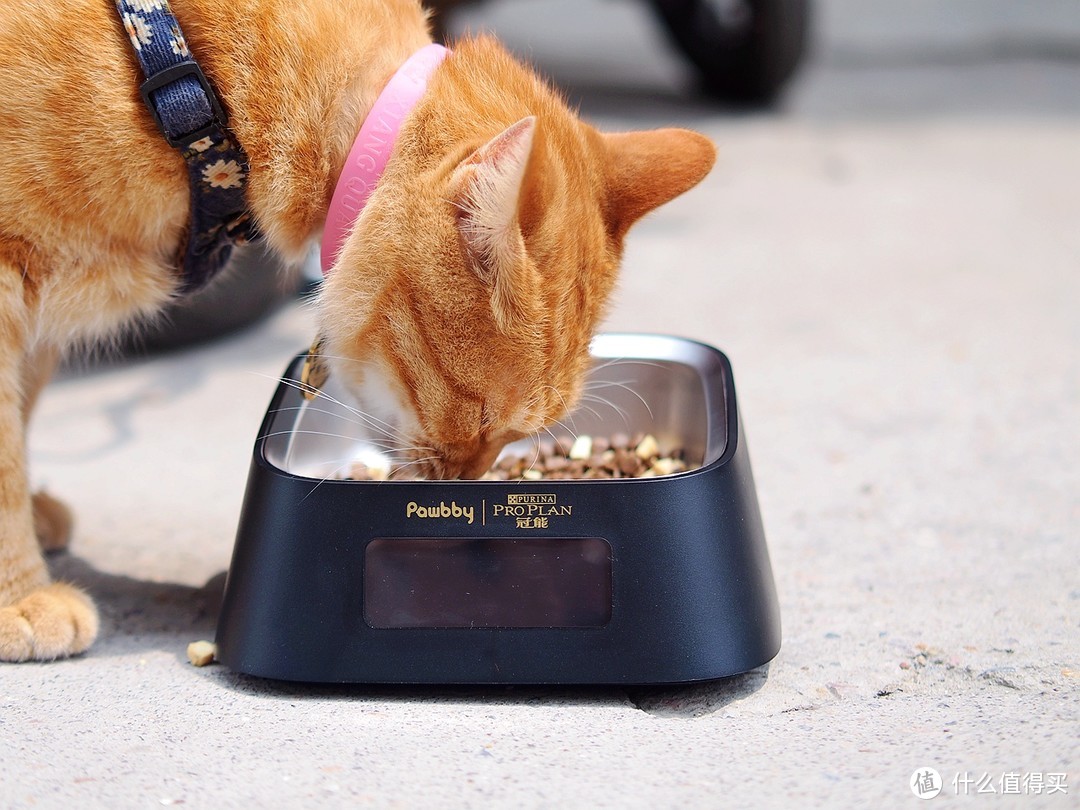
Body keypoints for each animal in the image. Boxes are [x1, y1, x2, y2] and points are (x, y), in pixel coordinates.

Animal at [0, 0, 717, 660]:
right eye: (482, 417)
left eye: (517, 438)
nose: (464, 488)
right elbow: (6, 448)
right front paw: (21, 593)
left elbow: (24, 412)